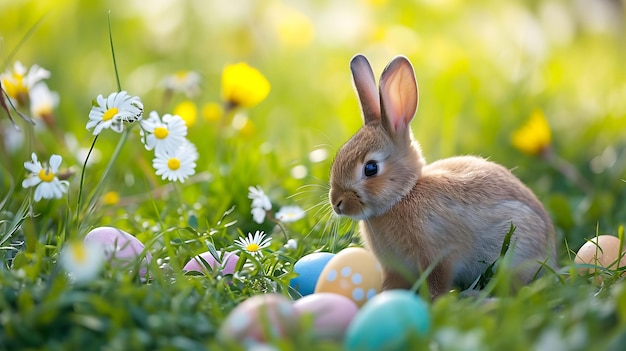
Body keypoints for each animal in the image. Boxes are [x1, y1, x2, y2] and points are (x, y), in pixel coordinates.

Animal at [326, 53, 556, 298]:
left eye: (370, 168)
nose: (336, 203)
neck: (403, 195)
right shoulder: (395, 268)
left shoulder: (441, 256)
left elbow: (438, 282)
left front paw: (433, 301)